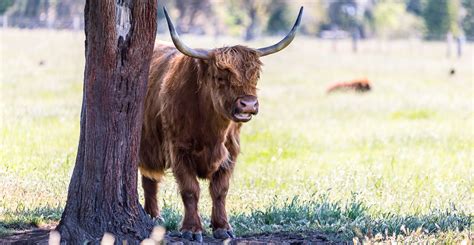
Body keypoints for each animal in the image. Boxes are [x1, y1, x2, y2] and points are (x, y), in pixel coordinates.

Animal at [139, 7, 302, 241]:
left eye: (255, 76)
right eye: (220, 78)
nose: (248, 104)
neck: (211, 131)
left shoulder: (230, 151)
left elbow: (220, 190)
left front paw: (222, 227)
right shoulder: (178, 150)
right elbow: (190, 189)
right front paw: (192, 229)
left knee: (149, 180)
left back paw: (154, 217)